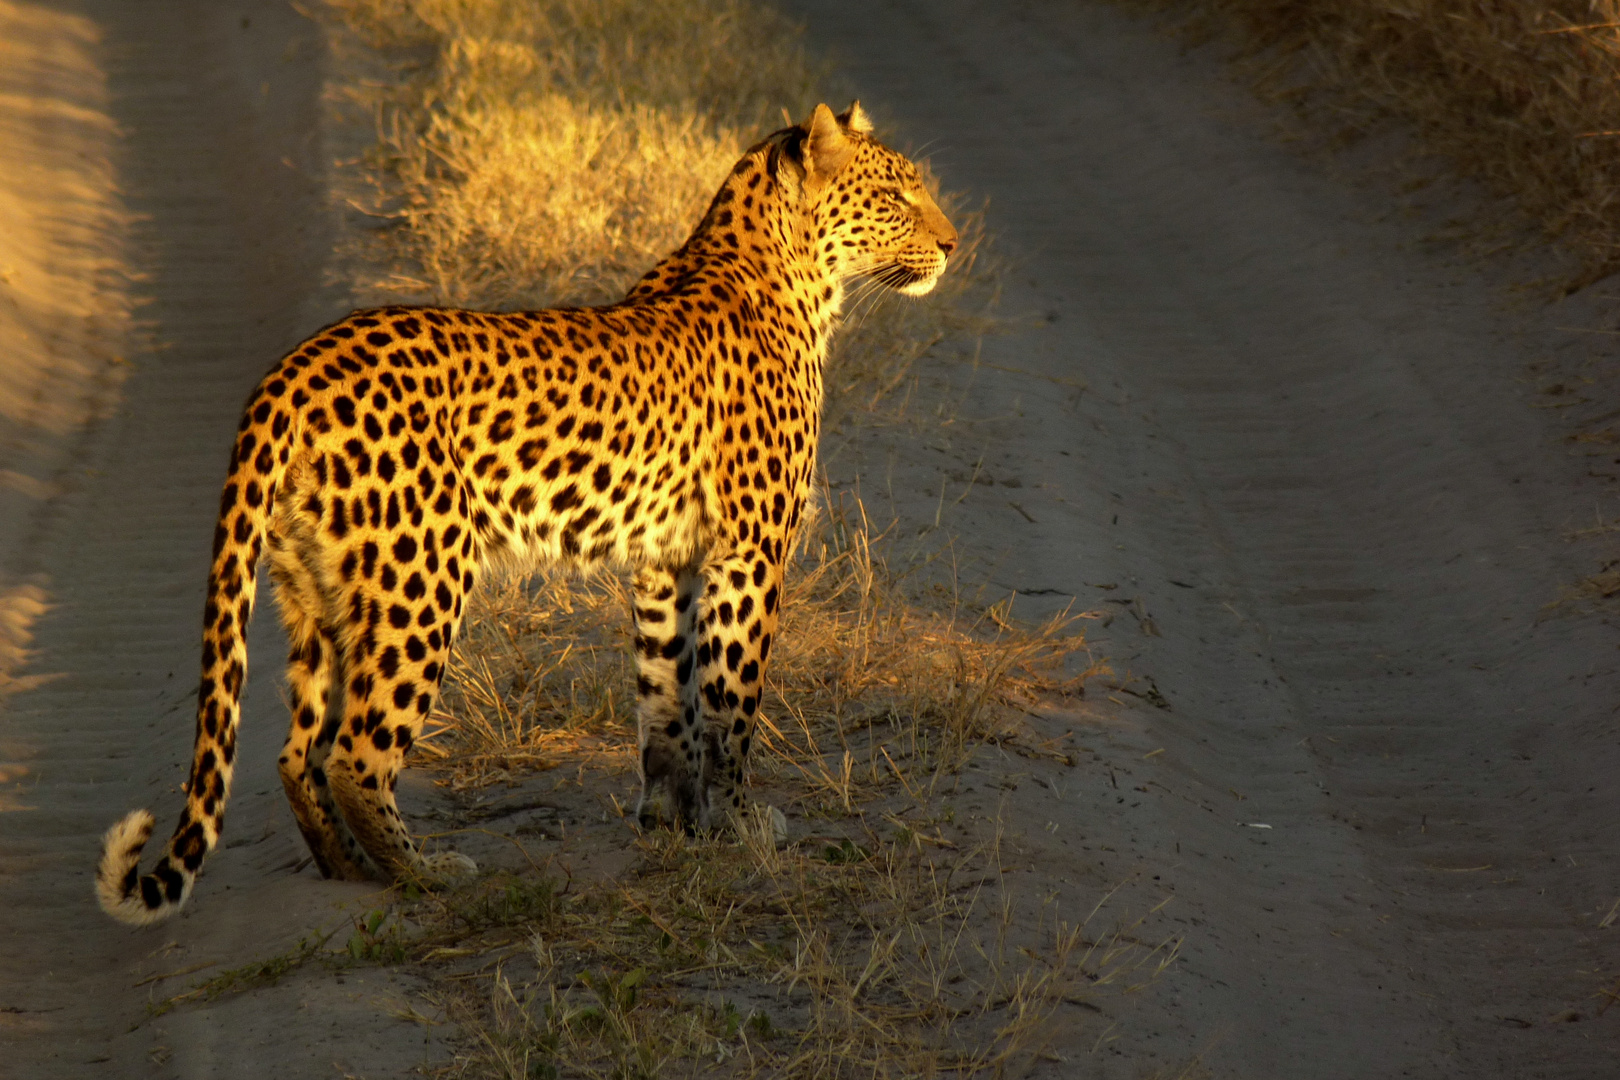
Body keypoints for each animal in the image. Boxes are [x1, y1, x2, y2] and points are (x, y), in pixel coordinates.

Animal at [94, 103, 952, 932]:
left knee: (297, 752)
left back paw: (350, 872)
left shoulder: (664, 561)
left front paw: (672, 819)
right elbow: (731, 702)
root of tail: (291, 372)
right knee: (355, 754)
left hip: (318, 596)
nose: (950, 245)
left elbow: (665, 697)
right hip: (420, 579)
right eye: (896, 196)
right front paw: (741, 824)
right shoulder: (749, 554)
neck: (790, 272)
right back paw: (425, 873)